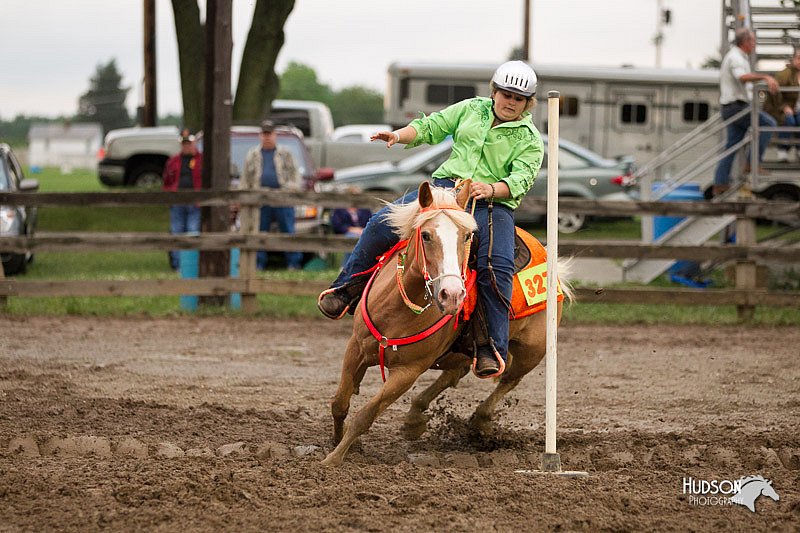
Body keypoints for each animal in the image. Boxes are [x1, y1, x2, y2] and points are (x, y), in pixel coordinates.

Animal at [322, 181, 572, 464]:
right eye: (426, 235)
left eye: (466, 237)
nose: (452, 295)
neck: (396, 309)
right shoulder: (356, 348)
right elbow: (339, 403)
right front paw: (338, 443)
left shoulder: (408, 371)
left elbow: (366, 415)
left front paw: (332, 460)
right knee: (455, 373)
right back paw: (414, 418)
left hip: (533, 351)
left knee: (509, 379)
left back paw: (479, 420)